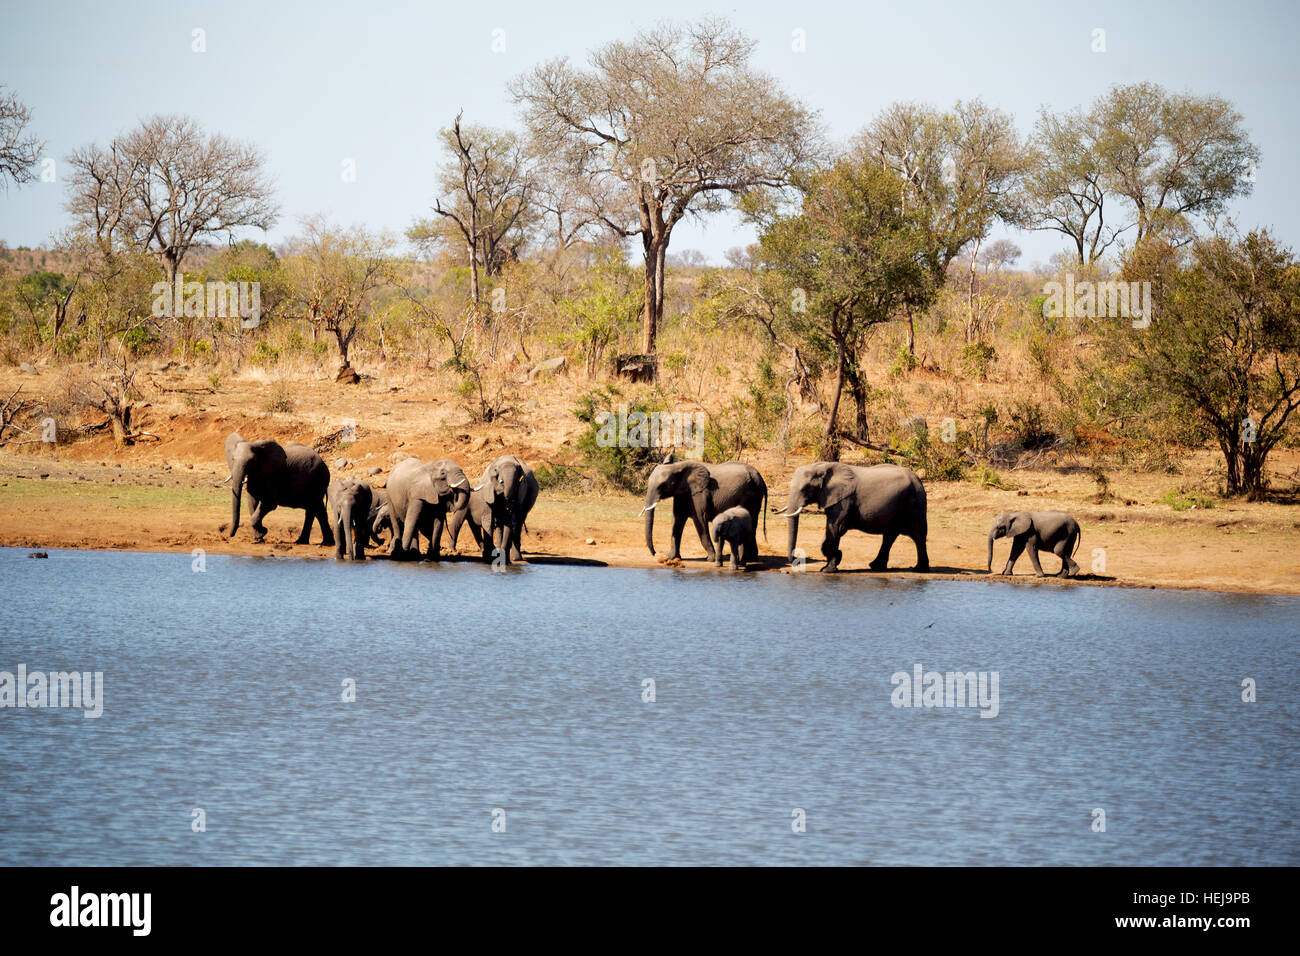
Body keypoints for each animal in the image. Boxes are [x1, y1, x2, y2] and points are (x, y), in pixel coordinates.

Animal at [779, 462, 928, 573]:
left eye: (805, 489)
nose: (797, 558)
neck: (821, 467)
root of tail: (918, 479)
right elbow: (831, 530)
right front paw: (832, 562)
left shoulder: (844, 499)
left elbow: (836, 528)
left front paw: (828, 569)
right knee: (890, 536)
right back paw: (876, 566)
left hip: (915, 503)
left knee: (918, 535)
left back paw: (919, 569)